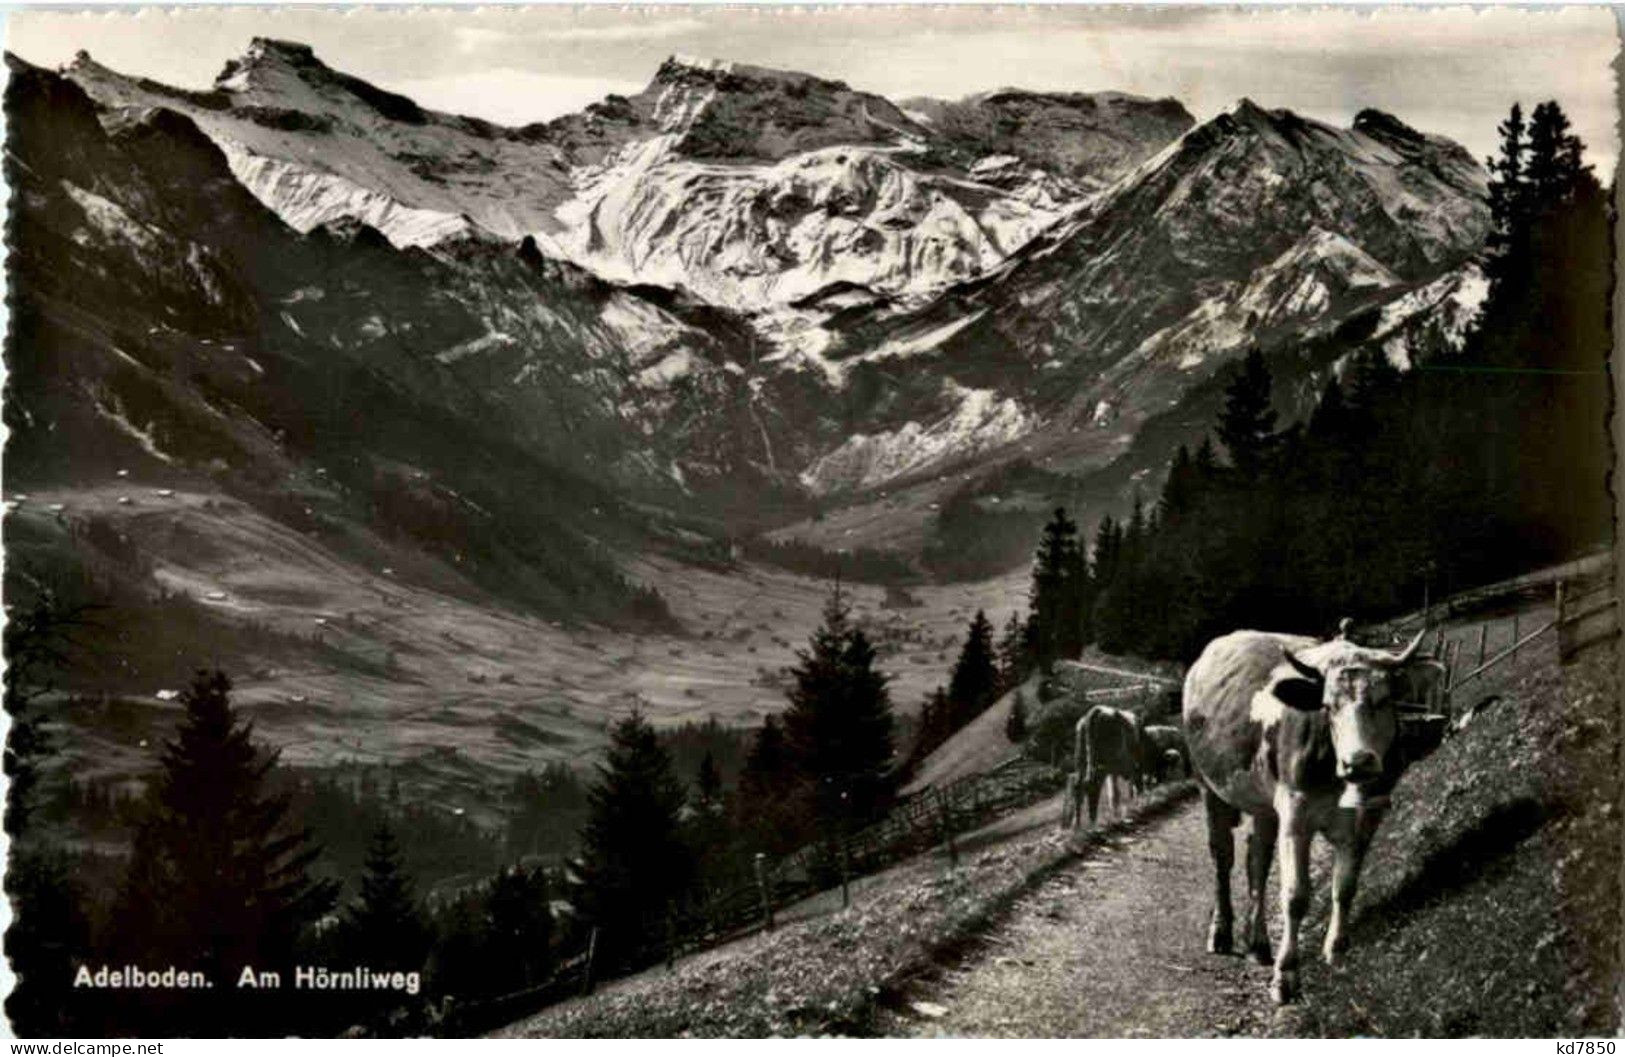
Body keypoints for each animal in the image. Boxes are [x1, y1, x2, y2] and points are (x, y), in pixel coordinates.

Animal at [1183, 624, 1436, 1001]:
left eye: (1383, 700)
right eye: (1328, 706)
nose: (1359, 762)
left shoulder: (1366, 818)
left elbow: (1345, 886)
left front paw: (1336, 950)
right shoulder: (1296, 816)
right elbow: (1295, 896)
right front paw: (1286, 975)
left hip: (1264, 804)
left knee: (1257, 860)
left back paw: (1258, 943)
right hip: (1210, 788)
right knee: (1222, 858)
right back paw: (1221, 932)